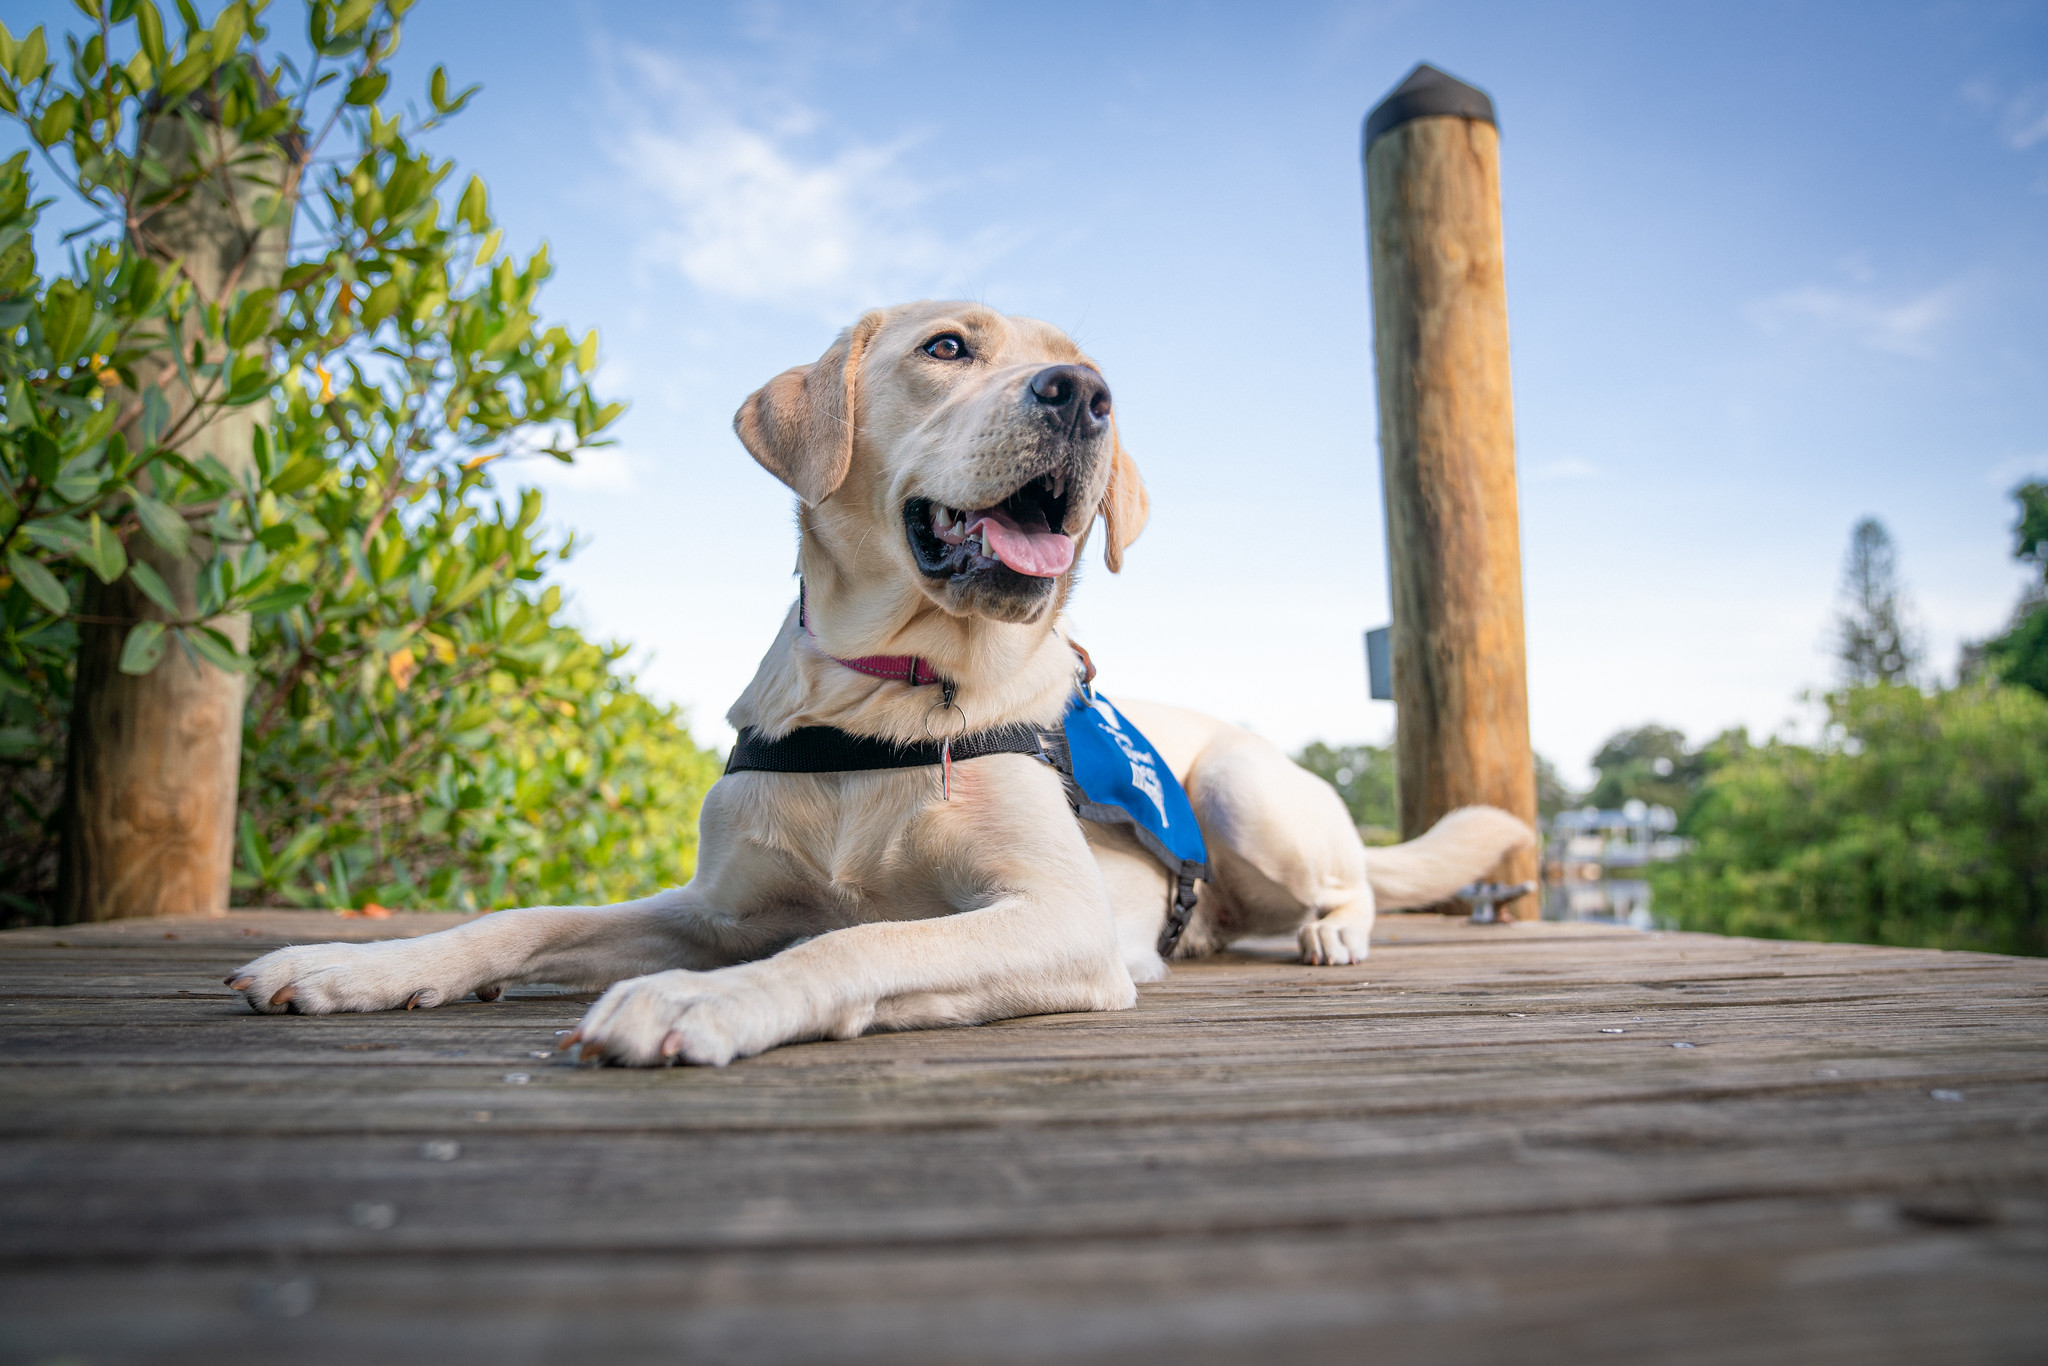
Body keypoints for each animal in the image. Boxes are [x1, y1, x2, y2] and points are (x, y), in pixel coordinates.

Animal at [228, 299, 1540, 1064]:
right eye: (945, 347)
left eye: (1082, 372)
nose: (1083, 395)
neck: (892, 692)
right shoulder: (714, 904)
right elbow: (527, 919)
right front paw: (351, 967)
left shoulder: (1054, 920)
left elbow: (864, 945)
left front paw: (697, 1004)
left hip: (1246, 796)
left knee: (1352, 882)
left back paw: (1331, 935)